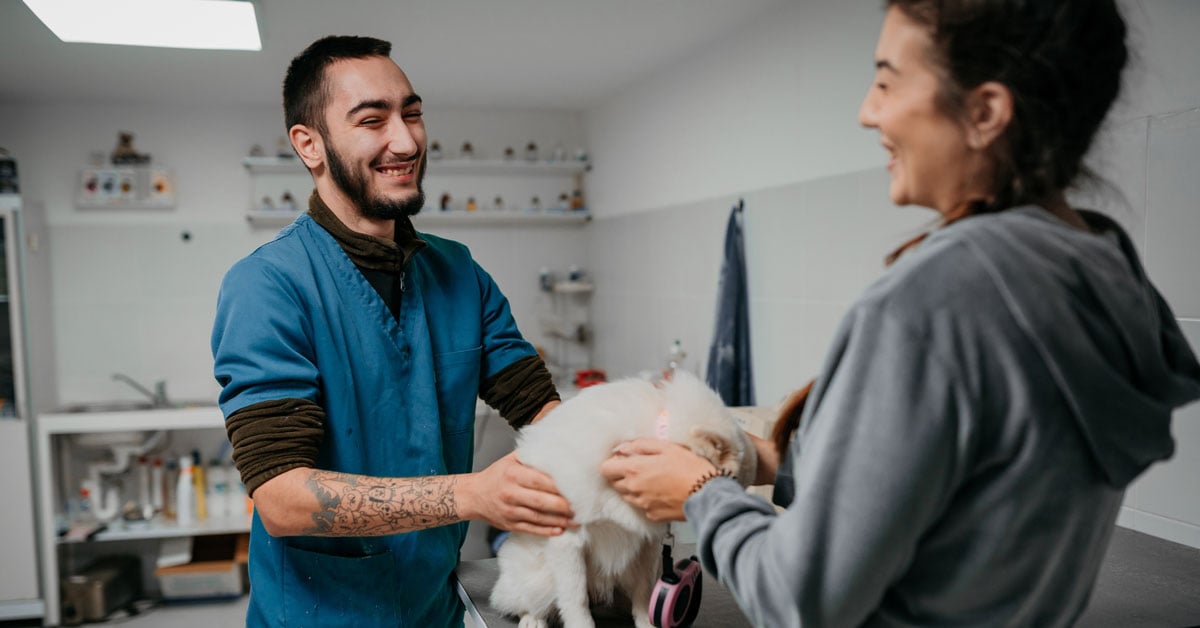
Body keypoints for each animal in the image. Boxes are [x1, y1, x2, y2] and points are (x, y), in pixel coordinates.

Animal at [484, 372, 748, 628]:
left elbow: (644, 592)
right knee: (524, 601)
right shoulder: (568, 542)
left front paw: (646, 623)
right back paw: (532, 618)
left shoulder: (647, 544)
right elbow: (576, 600)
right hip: (540, 580)